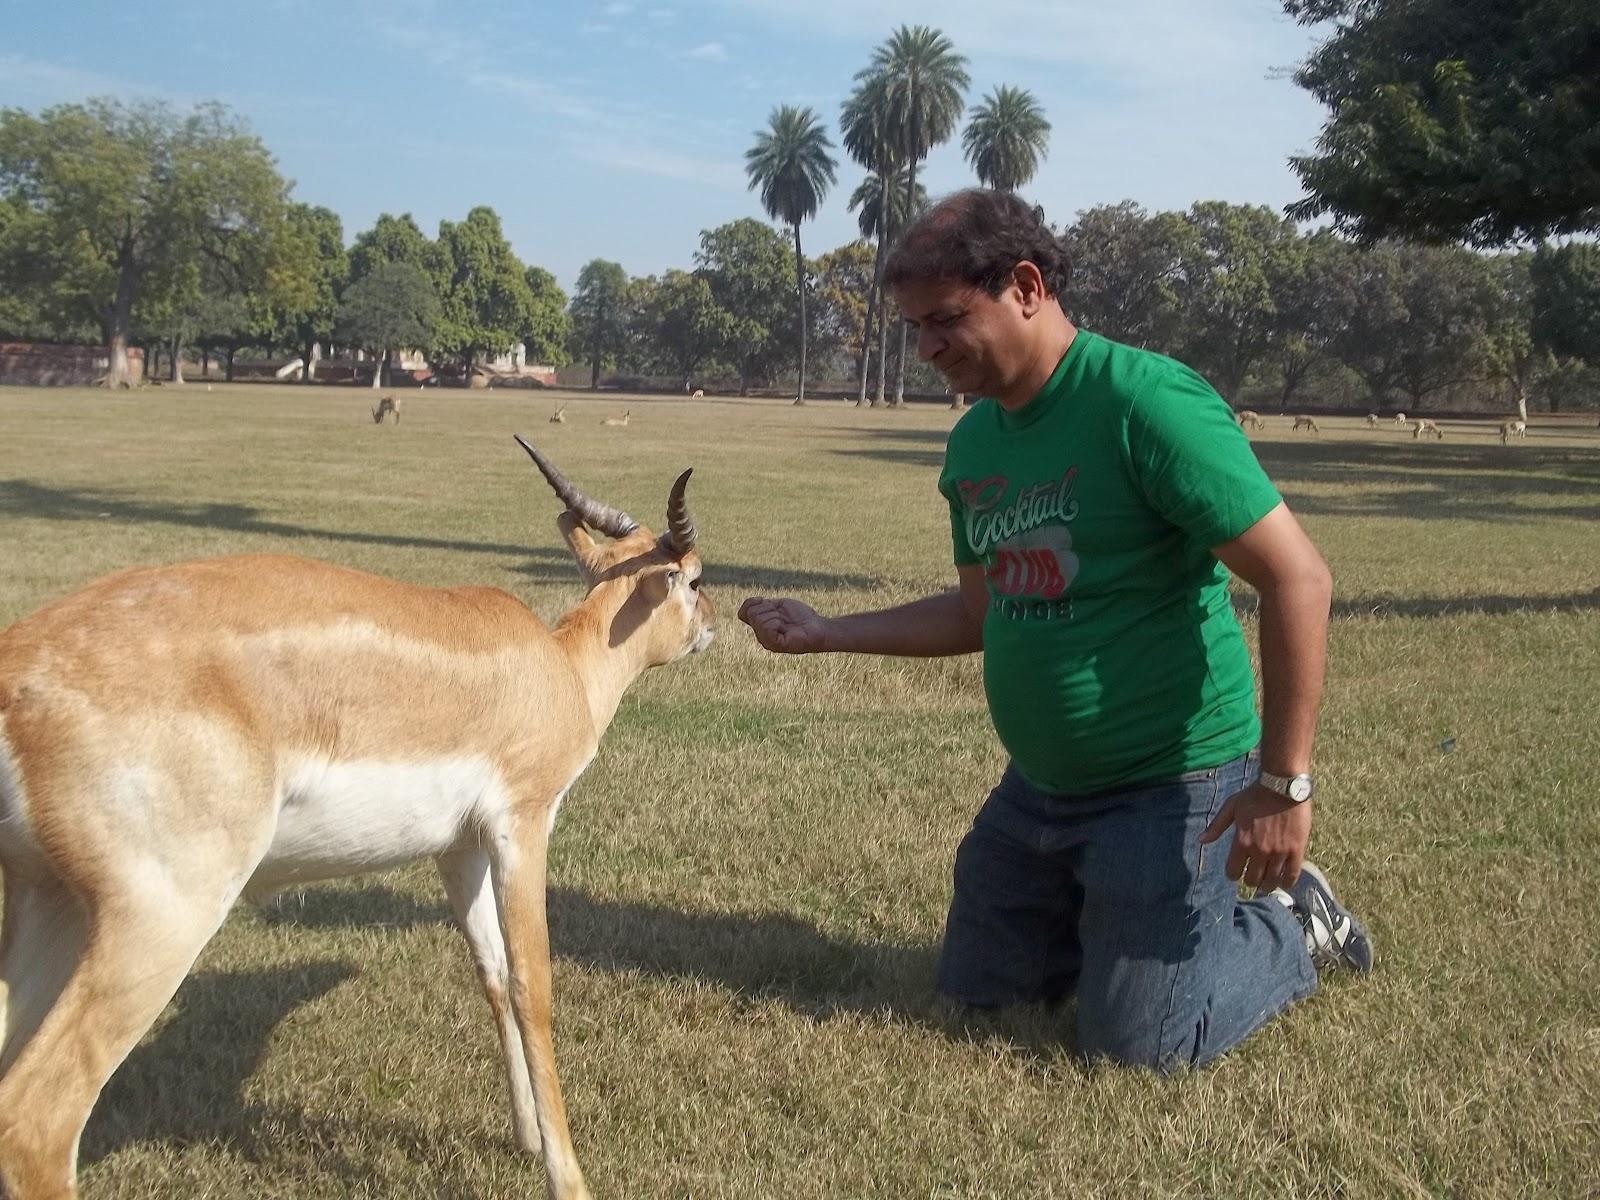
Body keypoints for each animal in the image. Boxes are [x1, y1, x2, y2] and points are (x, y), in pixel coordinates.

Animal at [0, 442, 714, 1200]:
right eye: (695, 577)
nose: (714, 620)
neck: (560, 668)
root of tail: (14, 673)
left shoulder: (458, 848)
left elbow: (490, 972)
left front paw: (524, 1139)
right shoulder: (524, 822)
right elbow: (533, 987)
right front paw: (568, 1178)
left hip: (49, 902)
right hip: (161, 918)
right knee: (37, 1118)